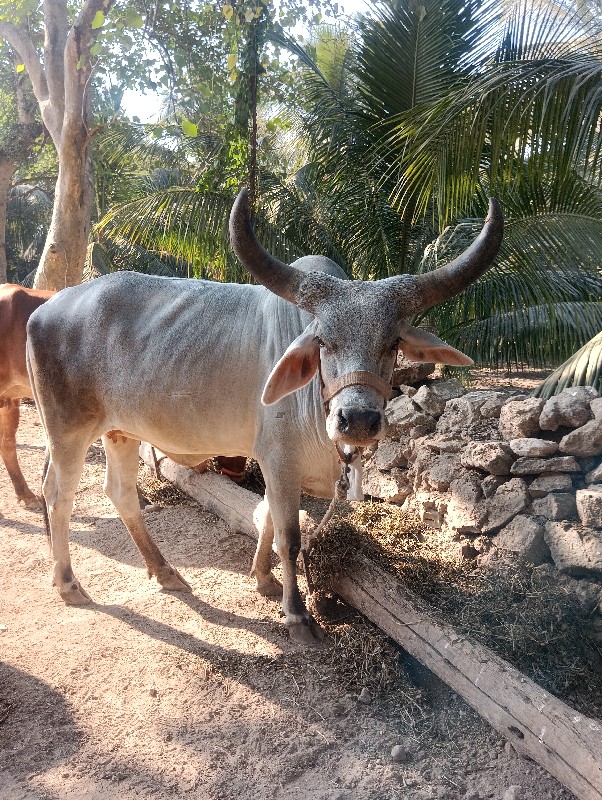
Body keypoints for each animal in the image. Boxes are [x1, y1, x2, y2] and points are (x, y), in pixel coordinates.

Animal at [25, 192, 500, 644]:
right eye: (323, 341)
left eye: (393, 343)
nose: (358, 419)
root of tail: (45, 309)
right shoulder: (279, 459)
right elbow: (288, 535)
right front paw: (297, 615)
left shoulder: (274, 463)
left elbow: (268, 519)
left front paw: (263, 579)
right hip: (67, 431)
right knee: (58, 495)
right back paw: (69, 584)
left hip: (120, 431)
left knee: (121, 494)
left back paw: (165, 572)